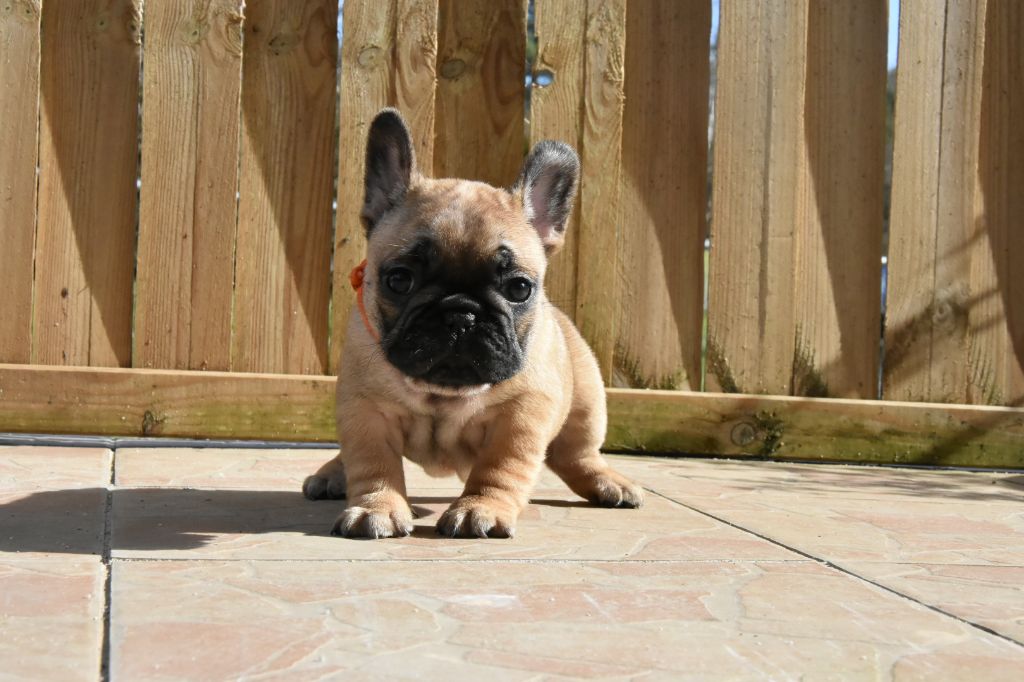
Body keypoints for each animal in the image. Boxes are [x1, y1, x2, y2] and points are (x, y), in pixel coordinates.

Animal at [299, 107, 643, 536]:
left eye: (519, 288)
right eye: (399, 279)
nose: (461, 314)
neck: (444, 394)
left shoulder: (521, 418)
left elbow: (500, 467)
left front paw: (481, 508)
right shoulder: (365, 412)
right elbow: (374, 464)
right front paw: (376, 507)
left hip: (587, 401)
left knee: (577, 452)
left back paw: (608, 482)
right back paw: (332, 474)